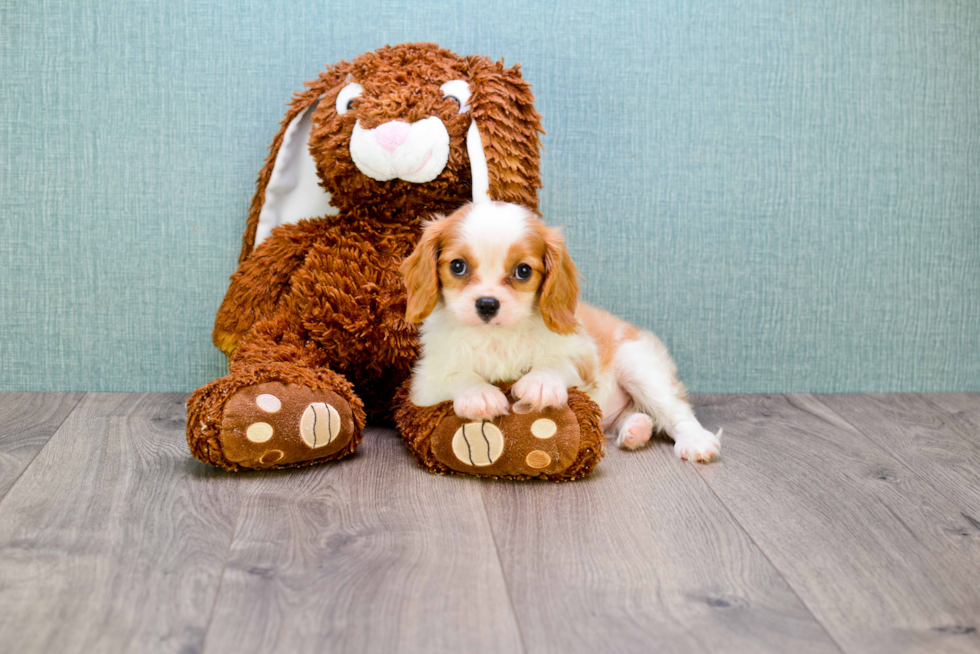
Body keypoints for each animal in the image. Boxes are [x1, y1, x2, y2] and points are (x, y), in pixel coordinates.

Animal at [398, 200, 720, 462]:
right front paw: (479, 394)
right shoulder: (424, 384)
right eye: (457, 266)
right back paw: (636, 429)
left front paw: (541, 382)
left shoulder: (583, 355)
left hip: (638, 364)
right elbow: (458, 375)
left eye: (523, 271)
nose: (487, 304)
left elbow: (556, 362)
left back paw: (695, 441)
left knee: (676, 410)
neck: (498, 335)